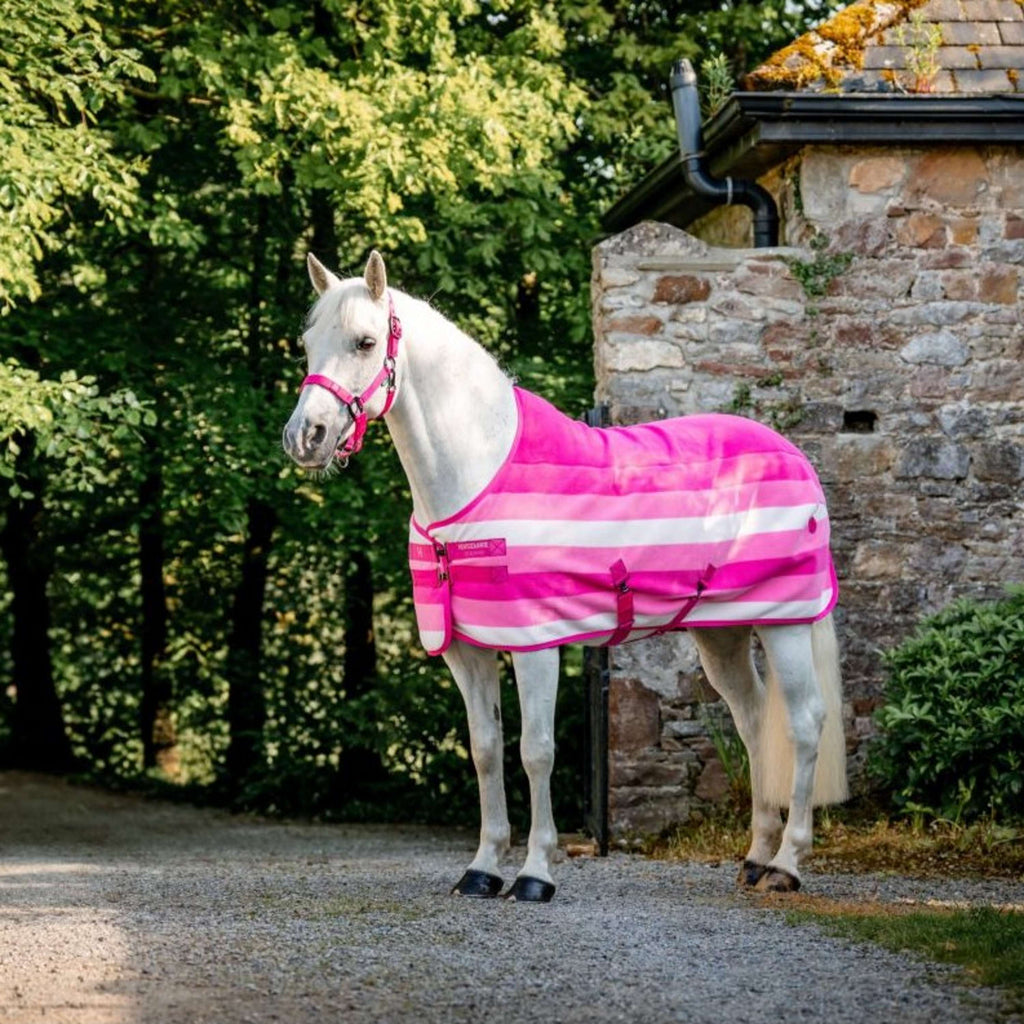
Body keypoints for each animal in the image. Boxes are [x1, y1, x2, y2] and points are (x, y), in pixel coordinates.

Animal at [282, 250, 848, 902]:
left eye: (365, 342)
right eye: (307, 344)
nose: (304, 437)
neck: (477, 475)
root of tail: (794, 455)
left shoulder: (536, 645)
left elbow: (536, 752)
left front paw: (535, 874)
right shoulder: (467, 650)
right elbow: (484, 749)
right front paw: (482, 869)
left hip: (785, 623)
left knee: (803, 724)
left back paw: (786, 864)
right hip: (722, 633)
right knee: (754, 720)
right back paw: (755, 856)